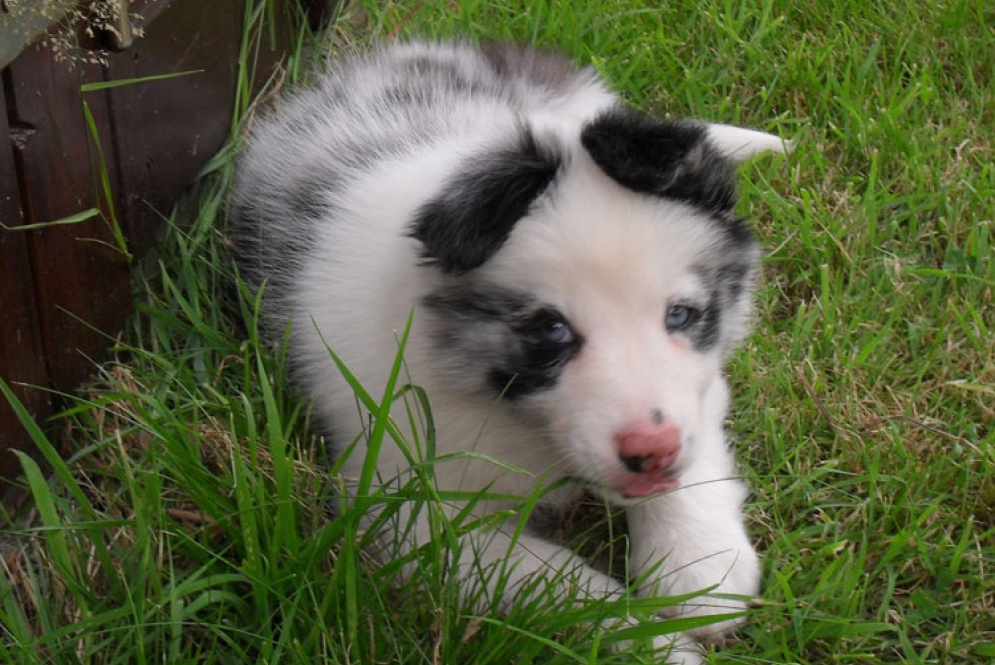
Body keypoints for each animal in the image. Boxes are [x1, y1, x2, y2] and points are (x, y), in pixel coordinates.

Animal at [230, 41, 788, 664]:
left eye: (681, 315)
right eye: (551, 331)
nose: (653, 452)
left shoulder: (700, 388)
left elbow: (699, 444)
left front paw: (699, 565)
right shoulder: (416, 512)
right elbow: (557, 581)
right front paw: (651, 644)